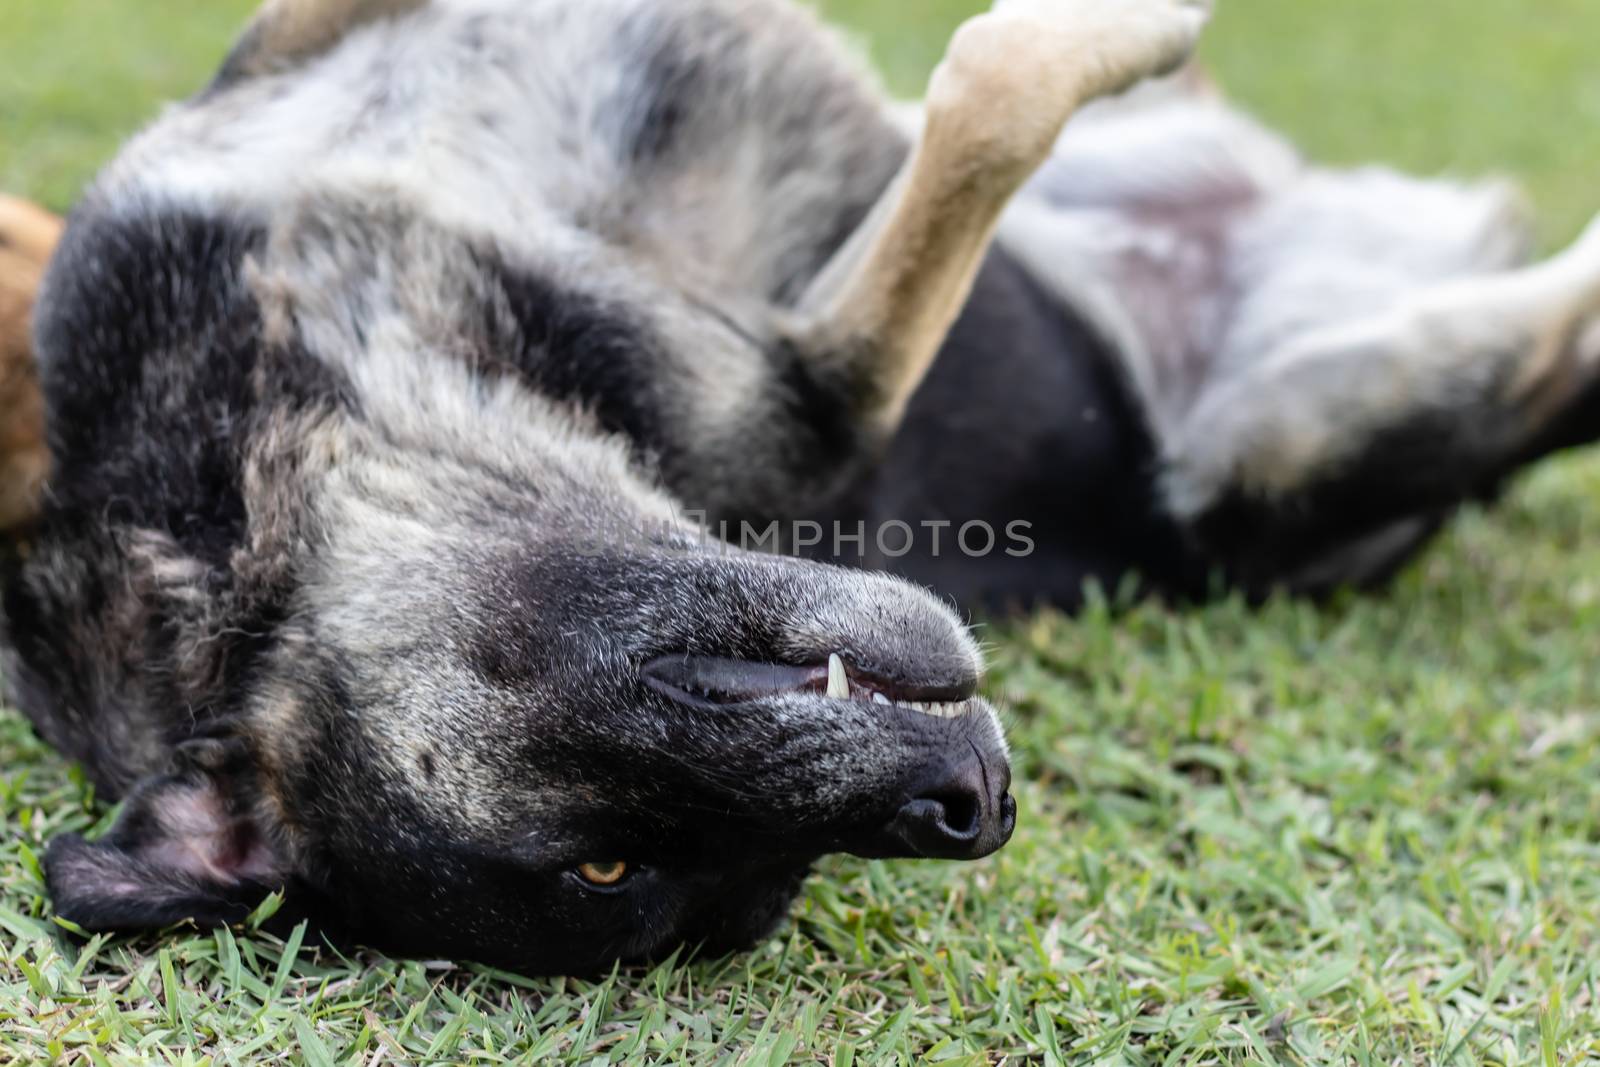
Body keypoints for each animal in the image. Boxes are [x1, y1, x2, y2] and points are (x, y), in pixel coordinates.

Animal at [3, 0, 1600, 979]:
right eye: (610, 868)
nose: (972, 804)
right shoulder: (823, 388)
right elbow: (987, 109)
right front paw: (1096, 35)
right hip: (1318, 436)